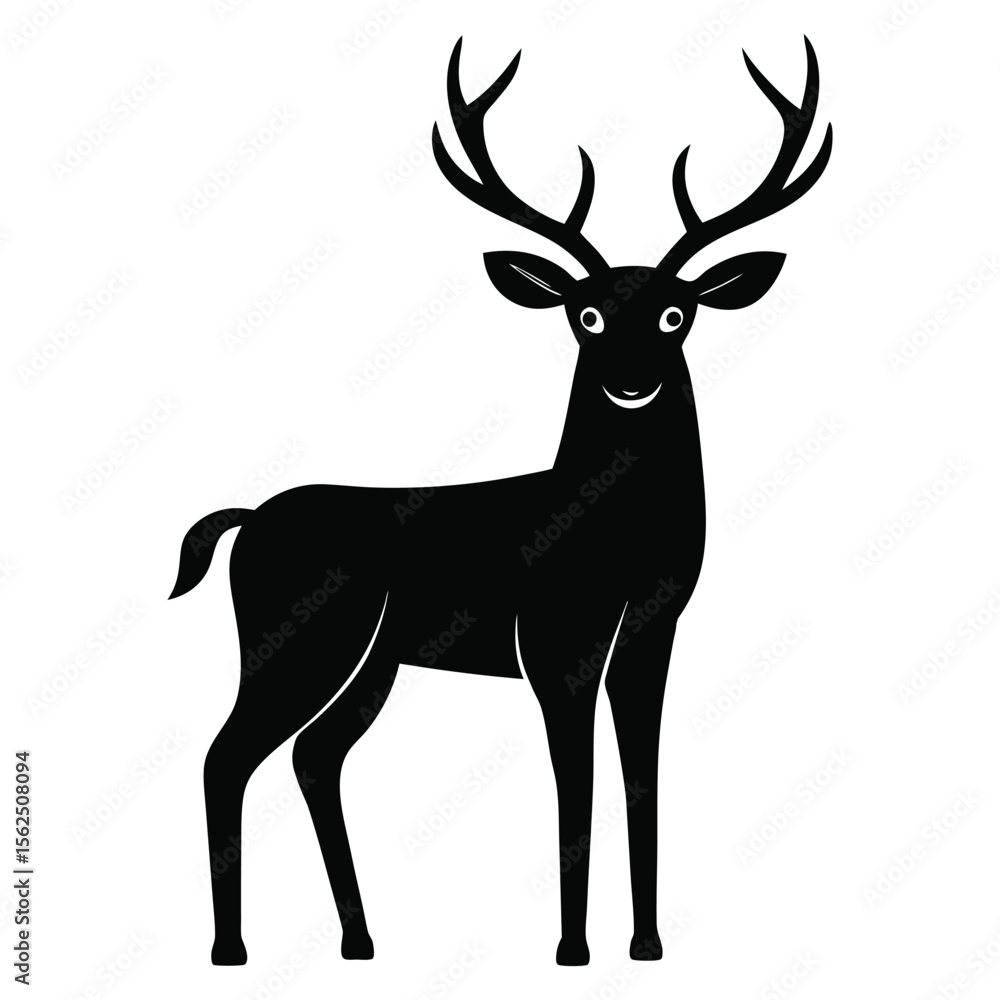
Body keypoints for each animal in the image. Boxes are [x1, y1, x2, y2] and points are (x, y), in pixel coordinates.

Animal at [169, 36, 831, 968]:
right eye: (585, 315)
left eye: (677, 313)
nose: (631, 380)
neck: (616, 537)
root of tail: (246, 522)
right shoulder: (555, 636)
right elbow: (573, 783)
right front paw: (572, 950)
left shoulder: (654, 630)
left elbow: (641, 778)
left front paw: (648, 945)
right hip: (293, 640)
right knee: (225, 757)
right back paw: (231, 950)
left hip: (371, 661)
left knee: (313, 757)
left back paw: (360, 942)